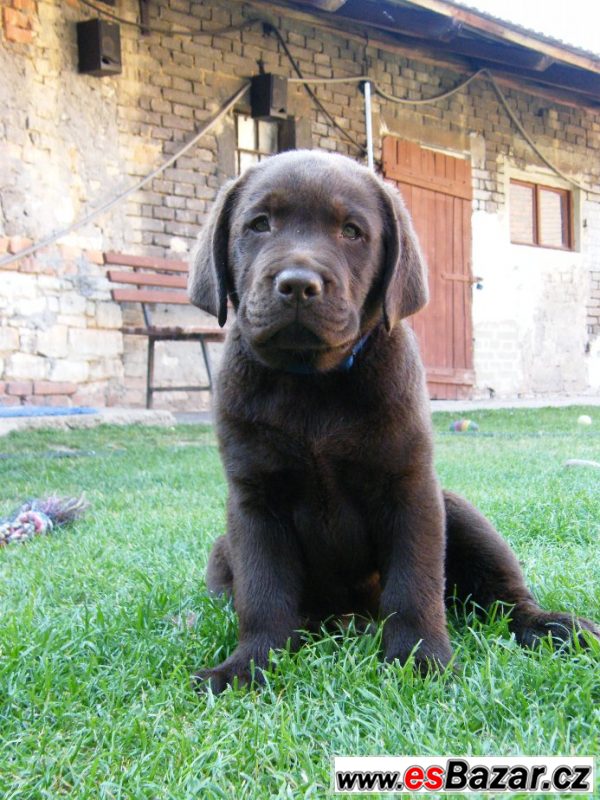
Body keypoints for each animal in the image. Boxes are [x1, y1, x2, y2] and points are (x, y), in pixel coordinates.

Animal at [186, 150, 596, 692]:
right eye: (258, 225)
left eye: (352, 231)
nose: (297, 284)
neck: (313, 382)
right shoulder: (255, 500)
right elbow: (264, 593)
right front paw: (249, 667)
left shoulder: (409, 486)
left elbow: (413, 584)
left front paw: (419, 660)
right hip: (221, 555)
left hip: (460, 512)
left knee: (504, 602)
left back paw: (555, 626)